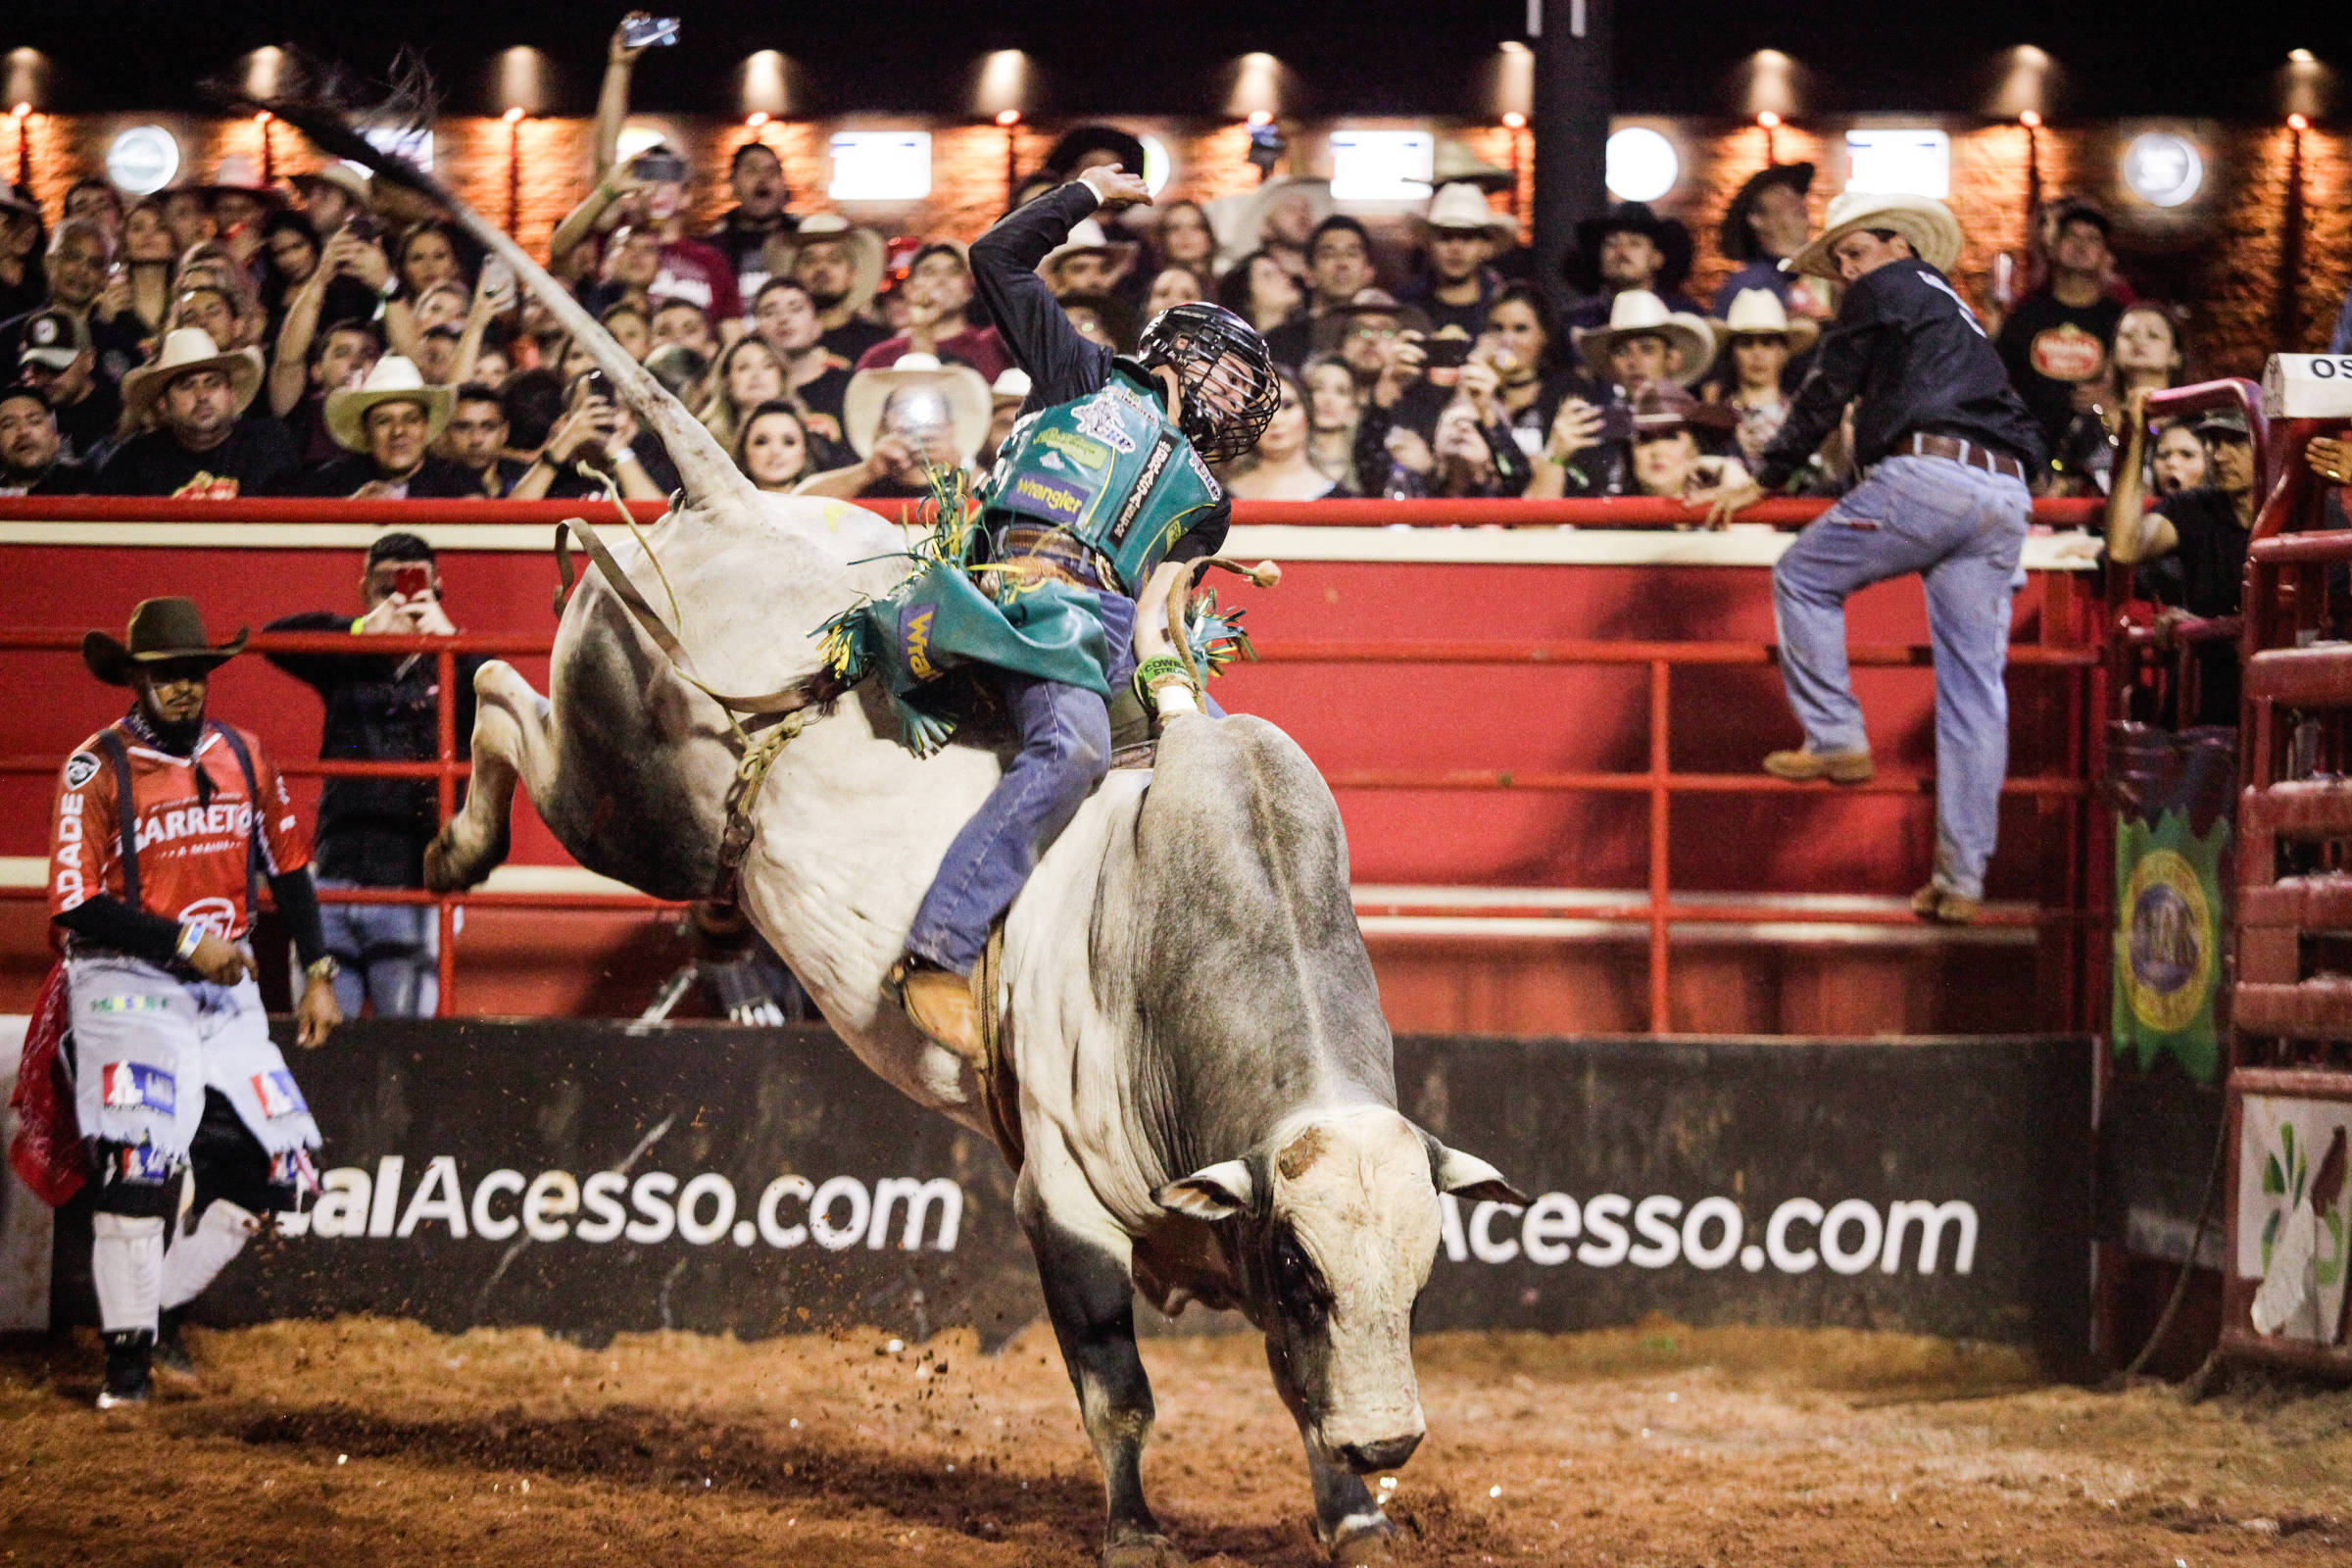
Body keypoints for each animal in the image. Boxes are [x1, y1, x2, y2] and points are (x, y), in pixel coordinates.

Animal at [262, 92, 1524, 1560]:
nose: (1395, 1438)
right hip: (621, 790)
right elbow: (1119, 1389)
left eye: (1417, 1279)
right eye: (1303, 1268)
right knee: (506, 704)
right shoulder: (1063, 1203)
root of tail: (734, 501)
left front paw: (1354, 1506)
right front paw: (1136, 1525)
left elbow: (1292, 1400)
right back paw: (455, 848)